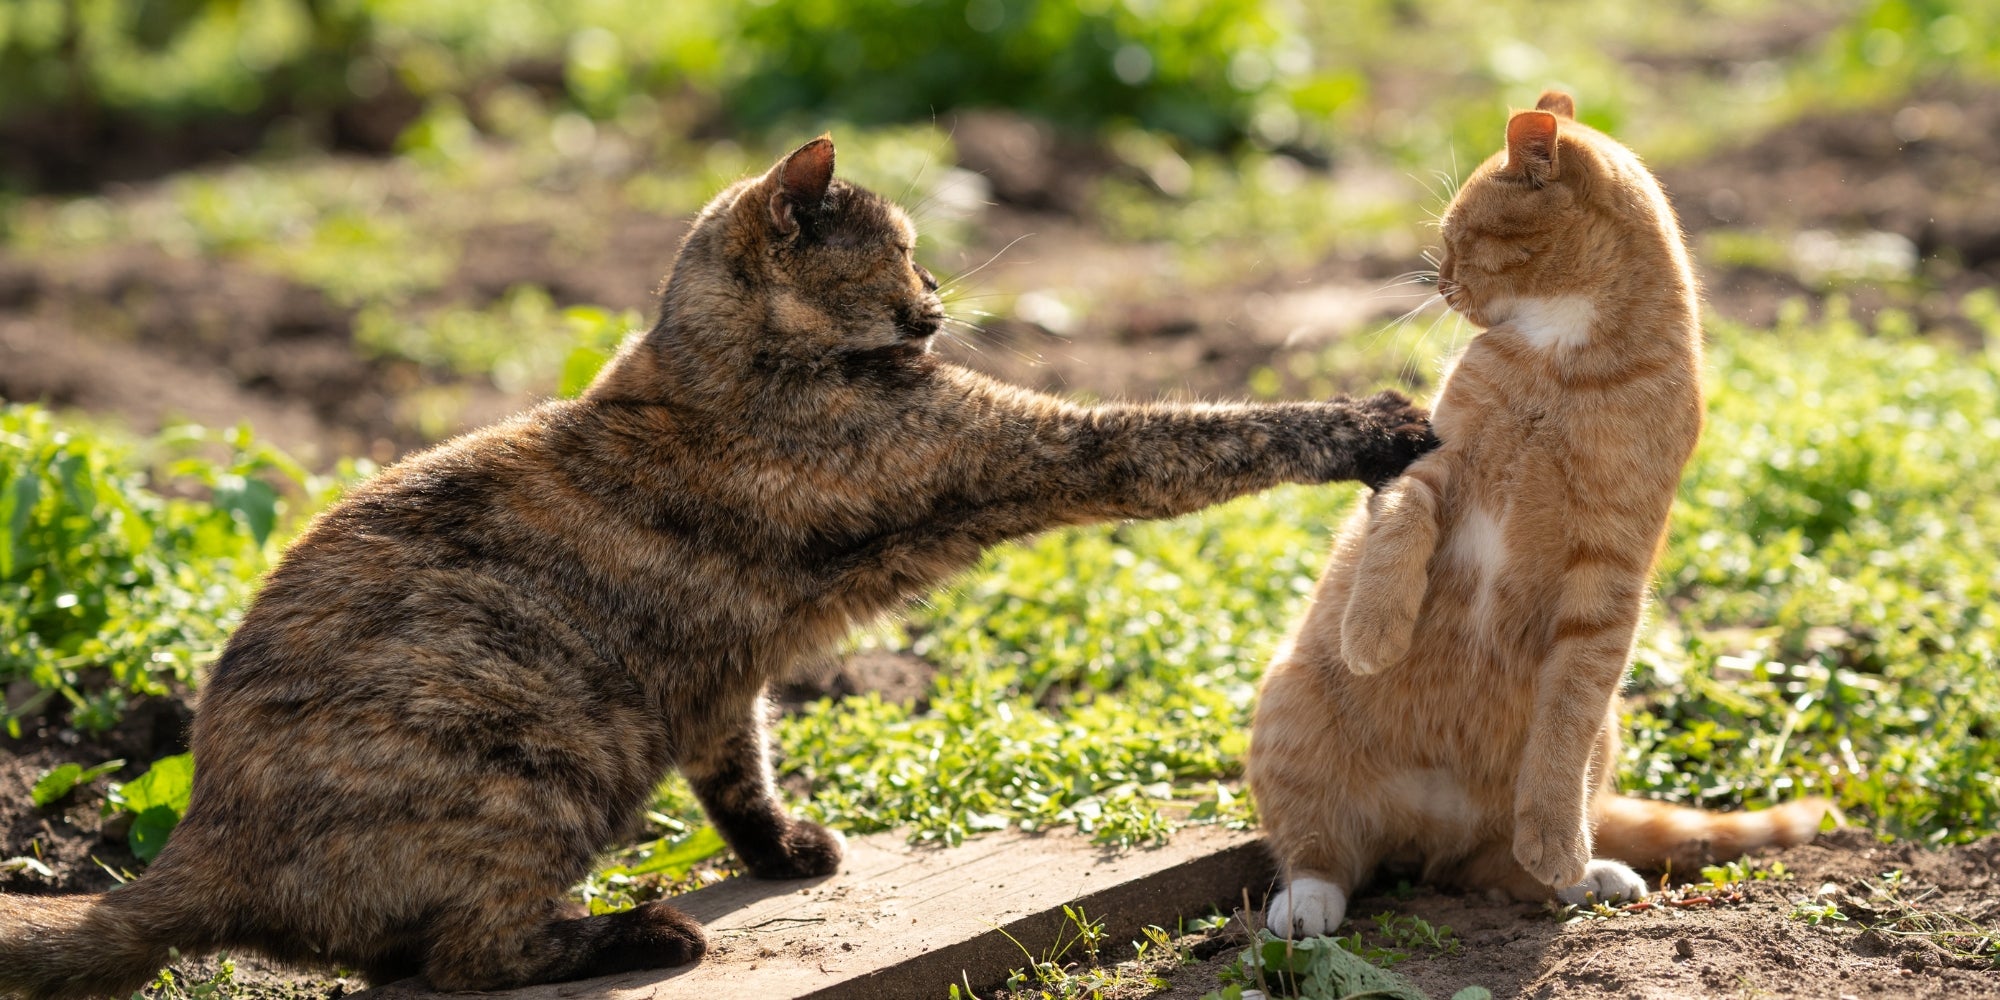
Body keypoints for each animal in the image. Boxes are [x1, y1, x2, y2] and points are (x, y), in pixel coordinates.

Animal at [0, 137, 1440, 996]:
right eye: (902, 252)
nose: (937, 303)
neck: (709, 364)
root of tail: (201, 840)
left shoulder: (722, 670)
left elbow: (737, 756)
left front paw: (785, 844)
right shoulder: (1026, 445)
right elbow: (1200, 433)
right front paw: (1373, 421)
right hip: (536, 761)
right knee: (460, 957)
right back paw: (640, 932)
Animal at [1248, 94, 1840, 936]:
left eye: (1459, 238)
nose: (1443, 283)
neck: (1563, 361)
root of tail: (1429, 829)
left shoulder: (1607, 575)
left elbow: (1562, 729)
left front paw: (1558, 844)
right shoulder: (1431, 467)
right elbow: (1397, 531)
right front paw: (1372, 634)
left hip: (1597, 743)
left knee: (1499, 862)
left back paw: (1587, 873)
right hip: (1292, 716)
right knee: (1323, 854)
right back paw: (1307, 904)